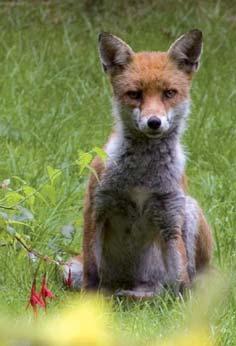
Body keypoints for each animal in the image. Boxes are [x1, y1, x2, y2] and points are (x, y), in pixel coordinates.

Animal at [64, 29, 212, 298]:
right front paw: (87, 305)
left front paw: (184, 306)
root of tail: (129, 283)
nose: (154, 122)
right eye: (135, 94)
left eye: (169, 93)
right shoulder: (96, 206)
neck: (143, 175)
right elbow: (91, 273)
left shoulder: (170, 216)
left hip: (189, 209)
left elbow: (181, 279)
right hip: (69, 270)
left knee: (177, 285)